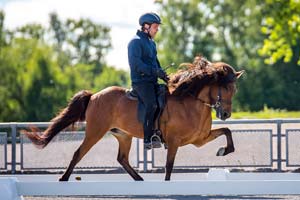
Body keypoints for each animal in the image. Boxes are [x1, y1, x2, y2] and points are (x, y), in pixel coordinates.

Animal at [23, 55, 244, 181]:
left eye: (235, 90)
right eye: (225, 88)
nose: (225, 114)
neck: (190, 102)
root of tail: (94, 96)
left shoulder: (199, 139)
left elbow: (227, 131)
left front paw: (224, 150)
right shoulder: (174, 142)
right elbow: (169, 167)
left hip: (123, 135)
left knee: (122, 158)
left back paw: (139, 180)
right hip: (95, 132)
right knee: (79, 153)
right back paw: (63, 179)